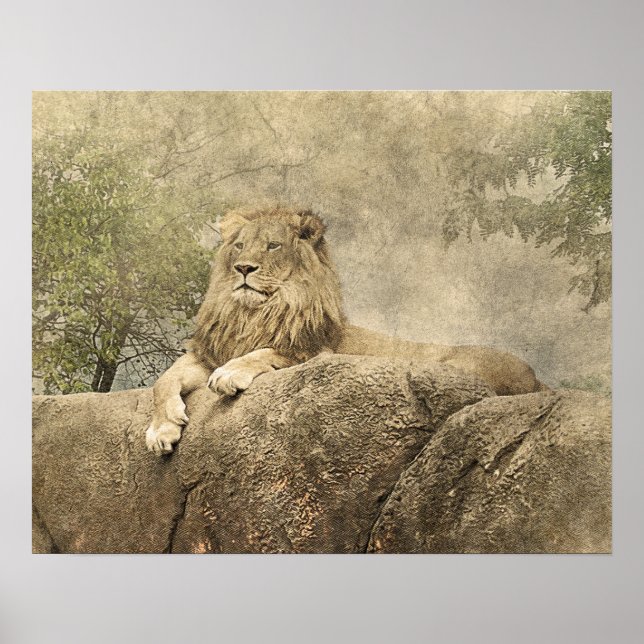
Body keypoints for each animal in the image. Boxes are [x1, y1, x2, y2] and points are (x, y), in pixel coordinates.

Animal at [145, 206, 545, 455]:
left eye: (273, 245)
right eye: (240, 246)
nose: (243, 268)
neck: (255, 312)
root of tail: (538, 378)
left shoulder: (310, 351)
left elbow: (263, 353)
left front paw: (229, 375)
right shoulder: (209, 353)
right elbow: (164, 381)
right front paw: (161, 430)